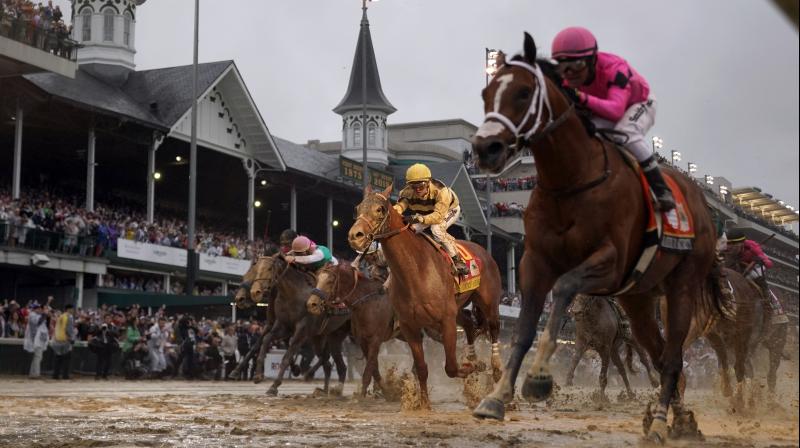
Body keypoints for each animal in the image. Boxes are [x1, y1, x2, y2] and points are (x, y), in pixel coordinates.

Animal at [304, 260, 396, 398]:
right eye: (317, 279)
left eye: (330, 281)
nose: (312, 304)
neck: (368, 302)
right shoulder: (363, 341)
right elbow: (373, 367)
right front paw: (386, 391)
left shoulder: (375, 340)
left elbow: (368, 369)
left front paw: (362, 395)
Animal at [348, 184, 504, 408]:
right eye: (358, 208)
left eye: (380, 209)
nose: (355, 236)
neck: (416, 271)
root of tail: (483, 251)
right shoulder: (410, 326)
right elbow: (421, 367)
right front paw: (423, 404)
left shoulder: (446, 321)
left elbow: (451, 367)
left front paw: (475, 367)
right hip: (457, 308)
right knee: (469, 325)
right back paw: (473, 359)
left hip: (488, 302)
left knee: (493, 328)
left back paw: (496, 369)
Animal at [468, 33, 732, 442]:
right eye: (486, 93)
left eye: (525, 92)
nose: (486, 149)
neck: (572, 179)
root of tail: (703, 208)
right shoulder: (535, 262)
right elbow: (525, 329)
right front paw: (496, 398)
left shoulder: (609, 261)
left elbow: (563, 288)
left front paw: (539, 378)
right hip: (638, 300)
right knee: (660, 356)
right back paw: (681, 420)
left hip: (682, 287)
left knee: (673, 357)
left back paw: (660, 422)